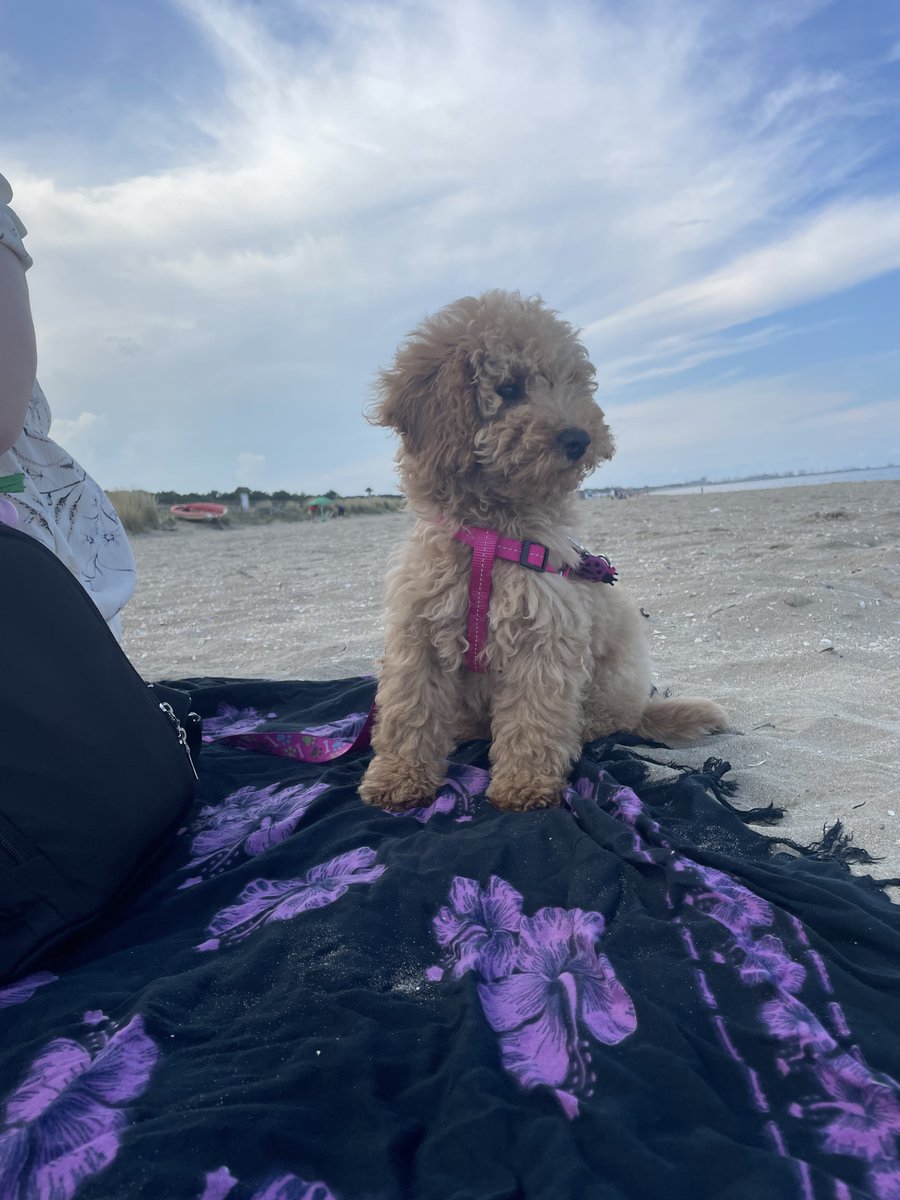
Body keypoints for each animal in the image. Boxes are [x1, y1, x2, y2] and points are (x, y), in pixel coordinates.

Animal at [360, 291, 724, 816]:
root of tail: (640, 708)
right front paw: (398, 779)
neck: (490, 535)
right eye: (508, 388)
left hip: (611, 681)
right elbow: (409, 713)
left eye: (572, 384)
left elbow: (533, 719)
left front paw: (524, 786)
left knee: (597, 722)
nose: (580, 439)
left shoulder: (544, 633)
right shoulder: (418, 632)